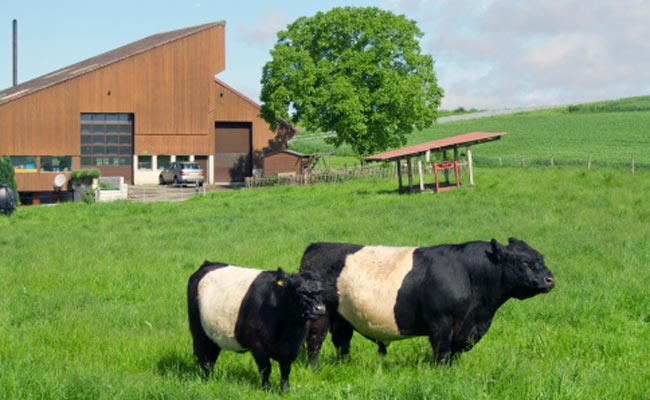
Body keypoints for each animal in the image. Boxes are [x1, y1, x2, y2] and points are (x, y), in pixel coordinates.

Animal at [187, 261, 326, 391]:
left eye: (321, 291)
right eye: (301, 292)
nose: (320, 308)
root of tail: (207, 264)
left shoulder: (292, 348)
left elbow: (285, 369)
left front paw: (285, 390)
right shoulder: (258, 345)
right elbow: (266, 368)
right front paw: (267, 389)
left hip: (213, 335)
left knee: (211, 357)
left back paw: (211, 378)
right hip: (199, 332)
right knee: (204, 357)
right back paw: (206, 380)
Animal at [299, 238, 555, 367]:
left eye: (540, 258)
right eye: (525, 262)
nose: (550, 279)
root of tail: (316, 246)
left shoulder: (464, 328)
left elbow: (454, 354)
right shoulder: (441, 322)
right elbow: (442, 350)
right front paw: (441, 373)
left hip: (344, 316)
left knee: (342, 341)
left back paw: (346, 365)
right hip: (322, 313)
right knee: (315, 341)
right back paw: (314, 368)